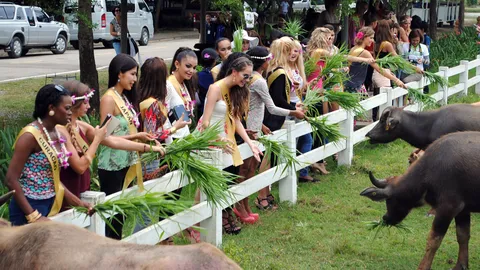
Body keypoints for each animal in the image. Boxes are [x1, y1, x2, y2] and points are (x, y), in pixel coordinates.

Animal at [360, 131, 480, 270]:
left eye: (389, 200)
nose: (386, 218)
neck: (431, 169)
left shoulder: (448, 208)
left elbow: (434, 240)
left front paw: (423, 266)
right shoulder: (463, 210)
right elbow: (463, 236)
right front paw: (461, 265)